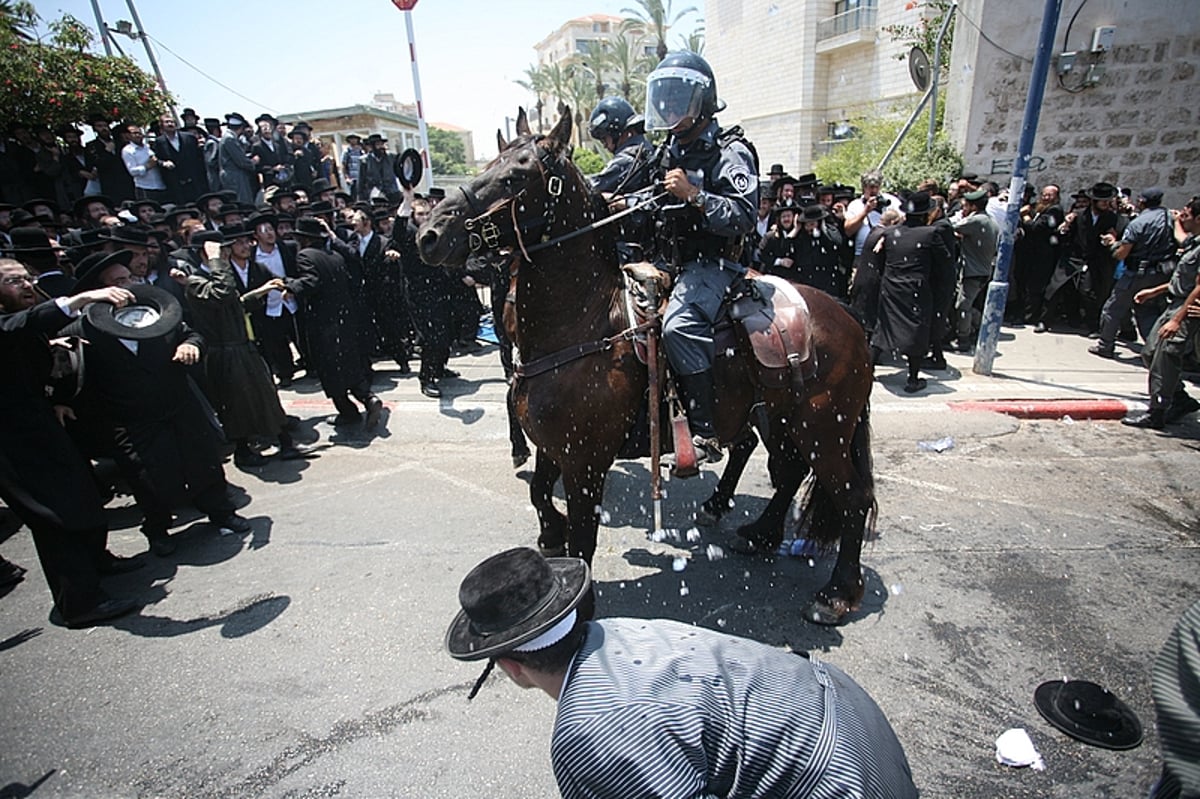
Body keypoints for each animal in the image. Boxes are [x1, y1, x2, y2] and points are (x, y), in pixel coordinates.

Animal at [417, 110, 878, 623]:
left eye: (515, 176)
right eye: (487, 167)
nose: (429, 235)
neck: (584, 323)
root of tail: (846, 314)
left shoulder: (585, 462)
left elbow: (583, 536)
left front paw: (578, 597)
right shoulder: (554, 447)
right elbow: (539, 492)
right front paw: (550, 534)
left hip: (823, 429)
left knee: (852, 497)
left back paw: (836, 593)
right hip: (780, 418)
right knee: (789, 469)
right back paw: (758, 531)